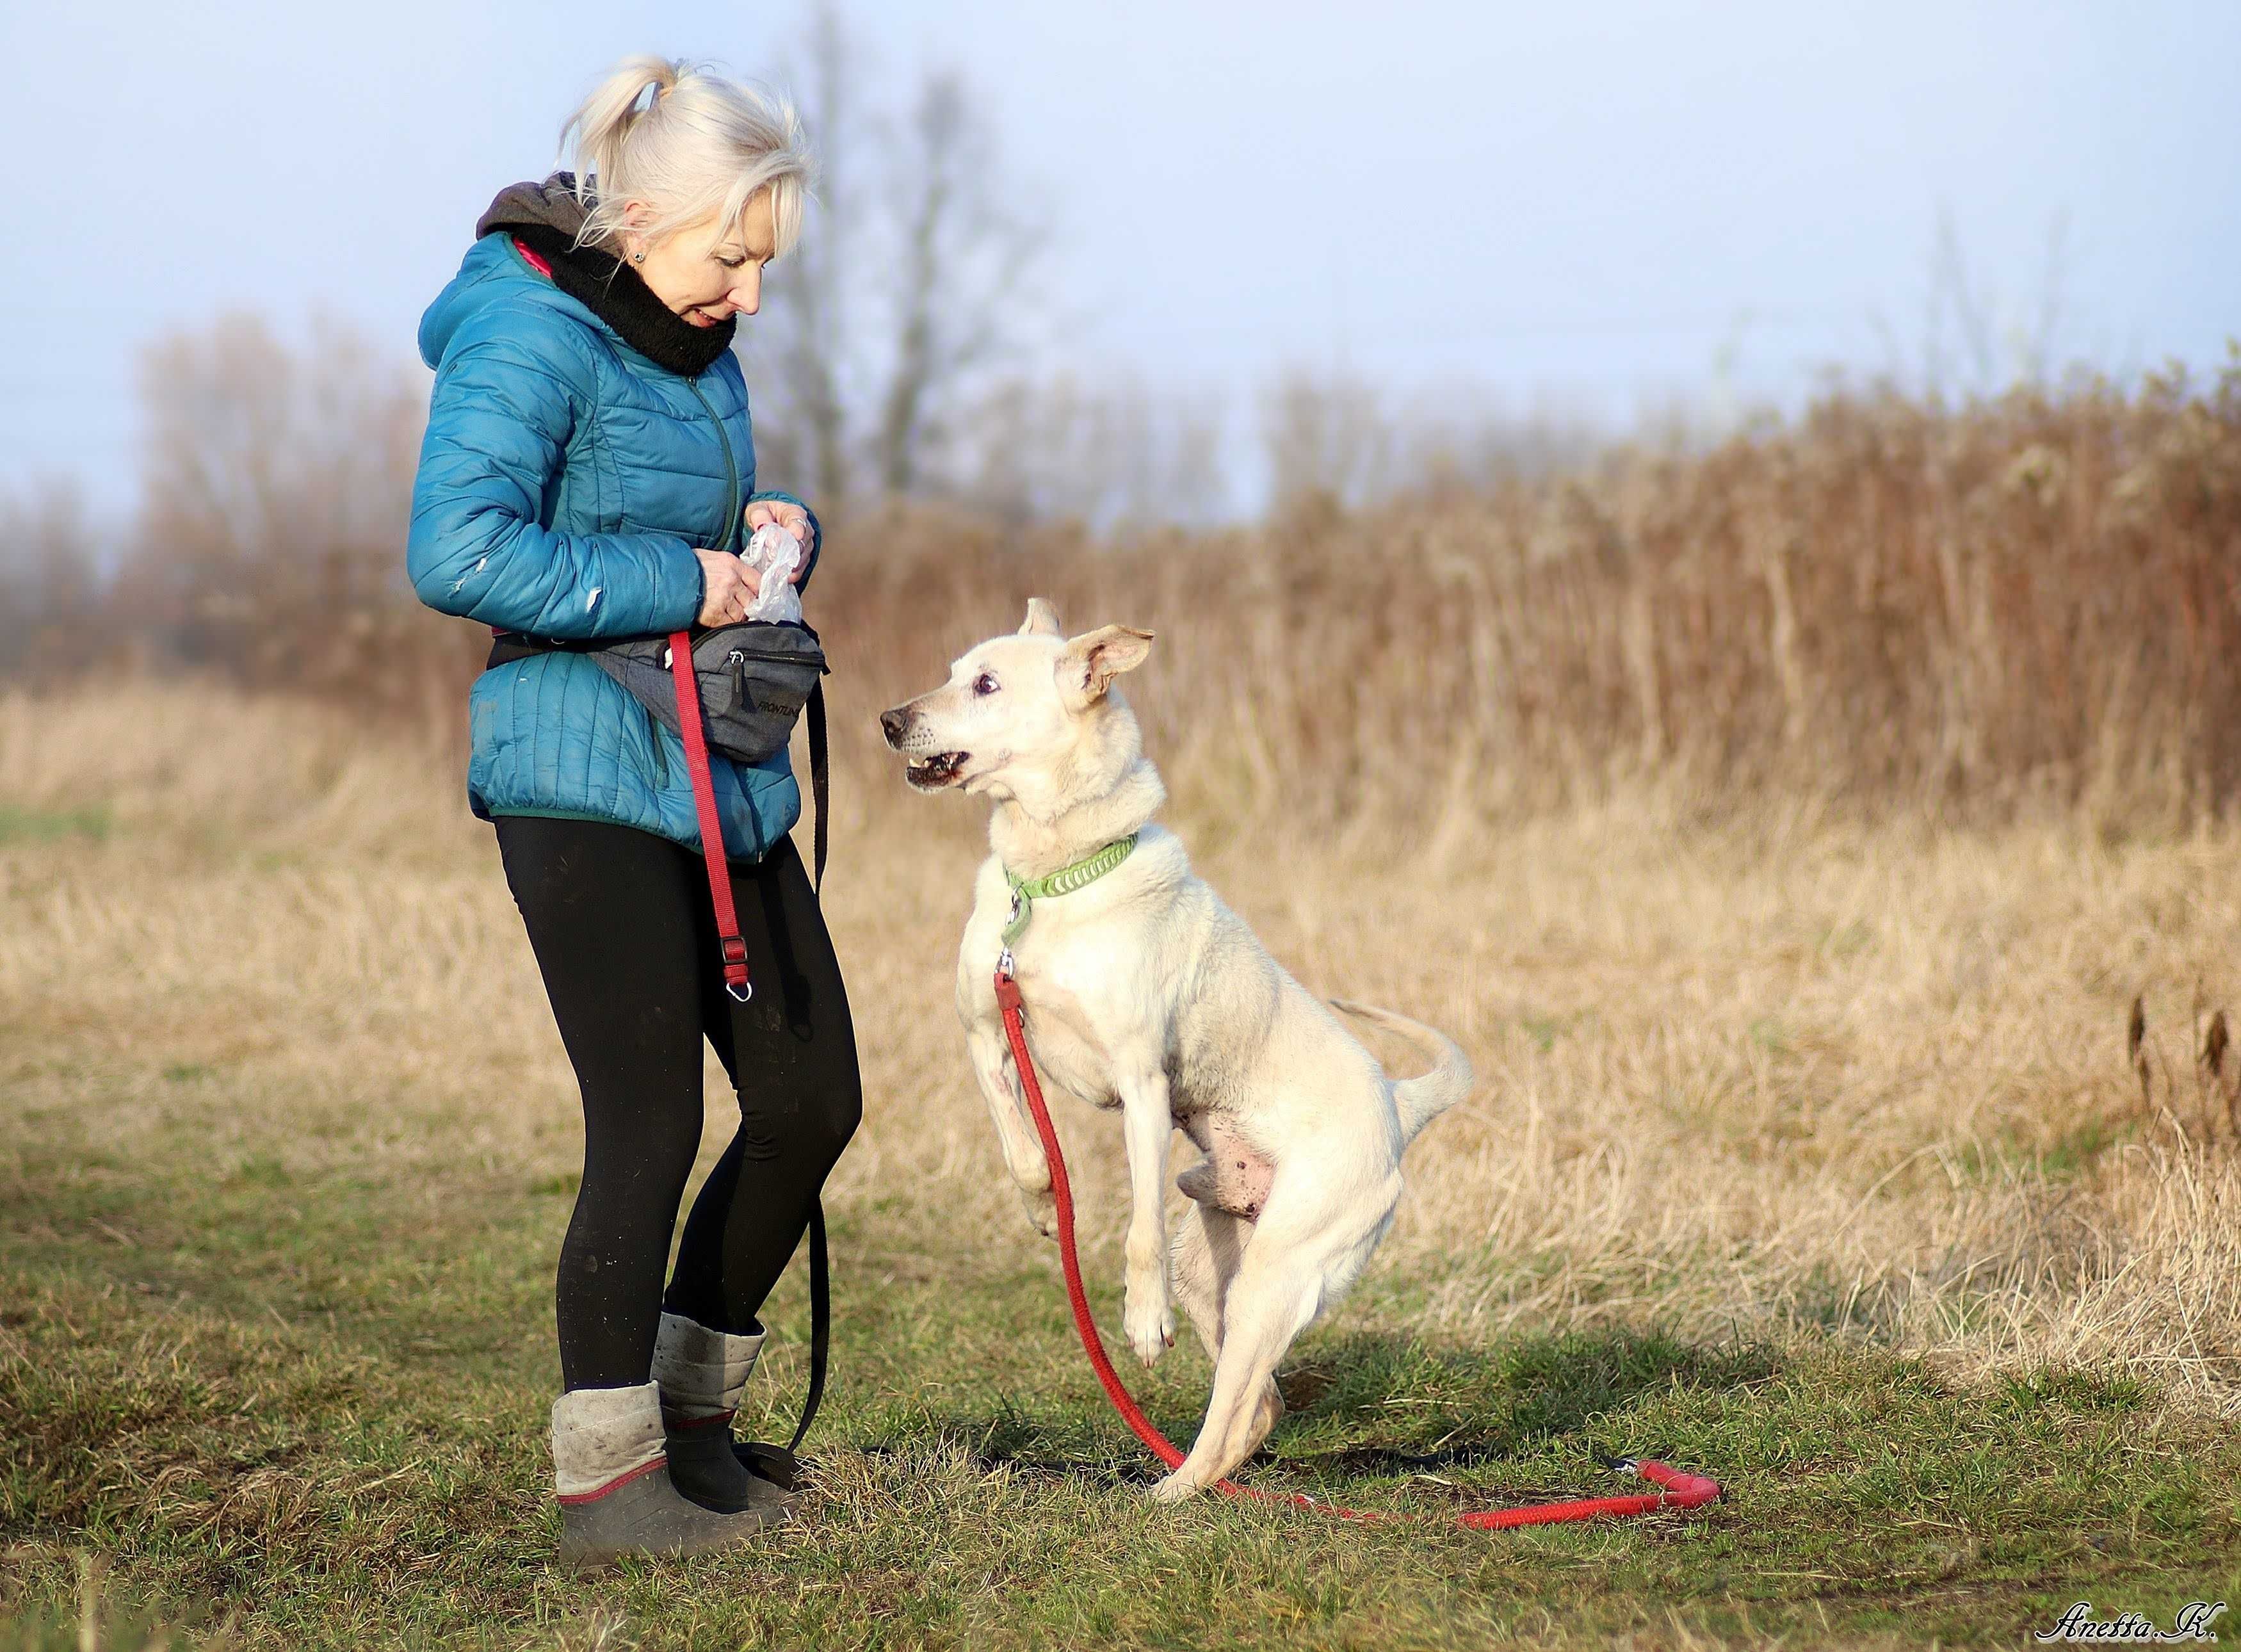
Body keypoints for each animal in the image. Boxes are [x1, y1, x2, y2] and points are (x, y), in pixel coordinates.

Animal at [874, 601, 1470, 1497]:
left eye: (985, 685)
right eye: (951, 672)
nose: (888, 720)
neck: (1050, 880)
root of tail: (1398, 1105)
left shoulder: (1142, 1088)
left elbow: (1137, 1230)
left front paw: (1141, 1324)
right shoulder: (987, 1036)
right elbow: (1022, 1150)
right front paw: (1044, 1209)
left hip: (1275, 1276)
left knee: (1233, 1410)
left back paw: (1169, 1493)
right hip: (1217, 1267)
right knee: (1258, 1402)